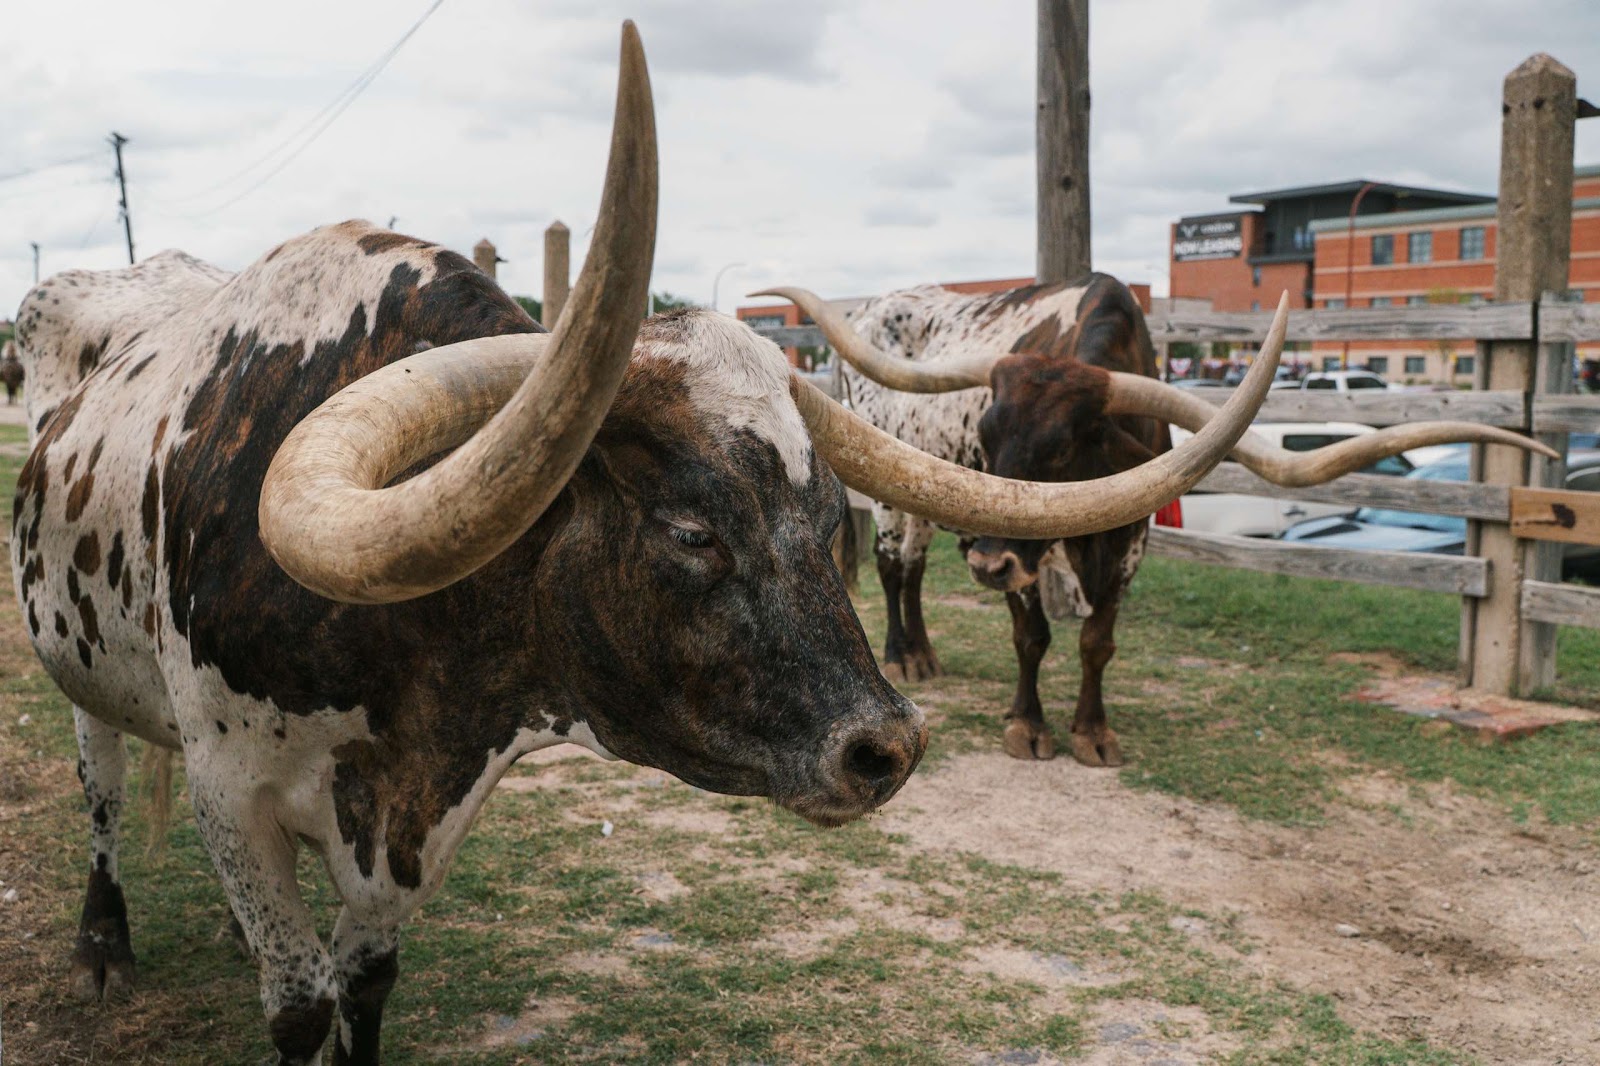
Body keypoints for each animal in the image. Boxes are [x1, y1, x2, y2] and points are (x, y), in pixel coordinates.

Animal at [10, 27, 1291, 1065]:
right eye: (690, 531)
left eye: (828, 524)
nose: (887, 749)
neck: (408, 666)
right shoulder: (234, 789)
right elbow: (299, 1005)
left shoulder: (427, 811)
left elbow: (361, 986)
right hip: (80, 677)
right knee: (105, 792)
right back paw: (103, 940)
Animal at [761, 278, 1557, 766]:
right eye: (986, 441)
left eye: (1059, 451)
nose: (986, 564)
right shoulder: (1025, 547)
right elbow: (1032, 636)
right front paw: (1028, 725)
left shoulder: (1126, 537)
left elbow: (1097, 642)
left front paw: (1093, 733)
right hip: (902, 494)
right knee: (898, 563)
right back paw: (908, 654)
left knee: (916, 566)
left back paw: (924, 650)